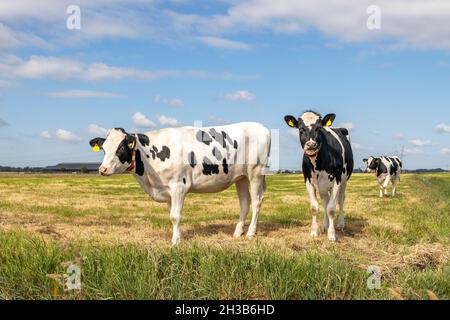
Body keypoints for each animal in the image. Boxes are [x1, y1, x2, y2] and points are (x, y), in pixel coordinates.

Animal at [89, 123, 268, 245]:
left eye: (120, 148)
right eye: (104, 149)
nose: (102, 169)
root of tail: (261, 127)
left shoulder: (178, 187)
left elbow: (175, 216)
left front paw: (175, 241)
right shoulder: (167, 191)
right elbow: (171, 215)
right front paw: (177, 236)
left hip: (256, 173)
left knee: (257, 202)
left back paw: (250, 233)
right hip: (241, 177)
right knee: (245, 203)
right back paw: (237, 232)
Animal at [284, 111, 356, 241]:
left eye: (318, 128)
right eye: (301, 128)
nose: (311, 144)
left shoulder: (337, 180)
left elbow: (331, 209)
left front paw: (331, 234)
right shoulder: (308, 180)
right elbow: (315, 207)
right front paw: (314, 231)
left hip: (344, 181)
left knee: (340, 200)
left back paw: (340, 224)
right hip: (323, 186)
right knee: (325, 201)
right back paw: (325, 225)